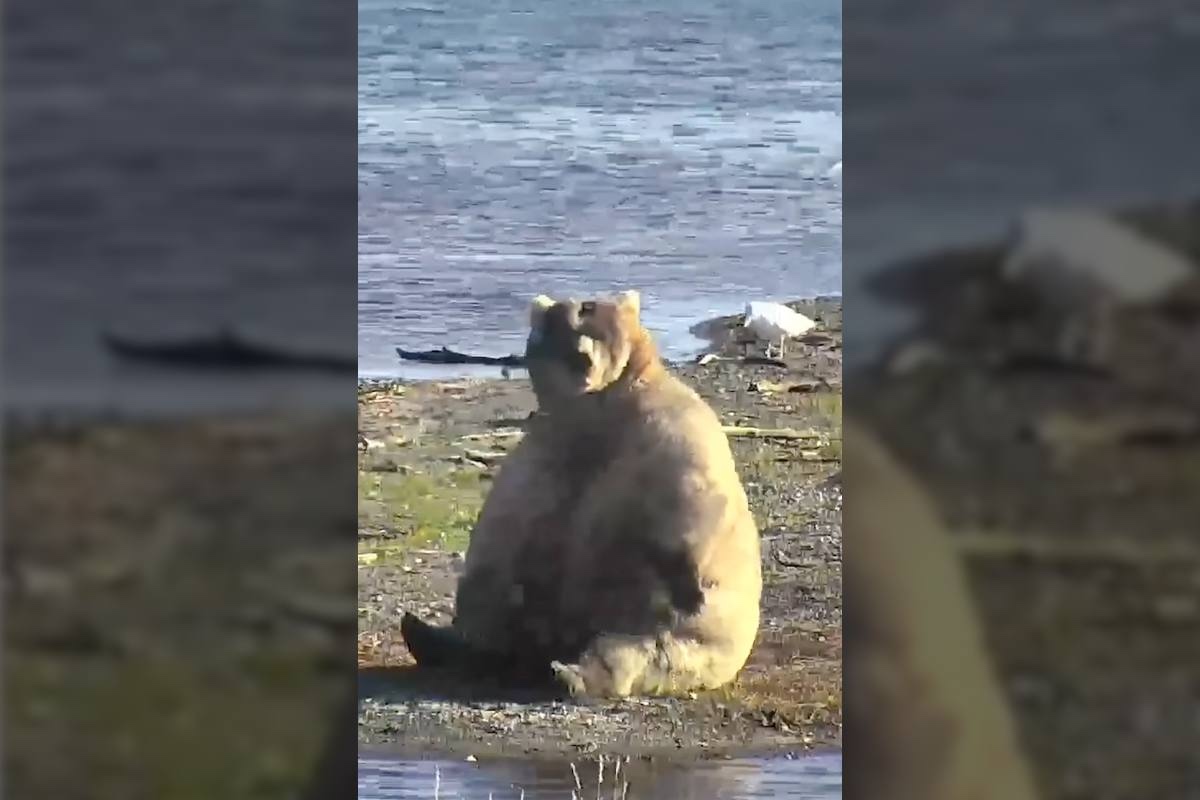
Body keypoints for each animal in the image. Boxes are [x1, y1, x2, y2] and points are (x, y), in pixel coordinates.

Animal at [401, 290, 762, 698]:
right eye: (563, 323)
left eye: (593, 317)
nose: (582, 359)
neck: (593, 411)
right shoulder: (544, 455)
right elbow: (502, 534)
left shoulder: (669, 440)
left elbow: (692, 504)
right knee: (500, 620)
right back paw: (429, 636)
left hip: (686, 638)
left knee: (638, 647)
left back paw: (570, 671)